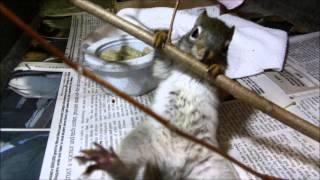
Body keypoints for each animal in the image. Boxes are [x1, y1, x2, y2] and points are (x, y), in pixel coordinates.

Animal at [75, 11, 235, 180]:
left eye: (226, 47)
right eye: (194, 33)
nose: (202, 53)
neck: (193, 71)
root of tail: (173, 167)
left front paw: (217, 67)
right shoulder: (168, 69)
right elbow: (160, 66)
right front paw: (162, 36)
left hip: (214, 169)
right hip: (139, 142)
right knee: (126, 171)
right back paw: (109, 161)